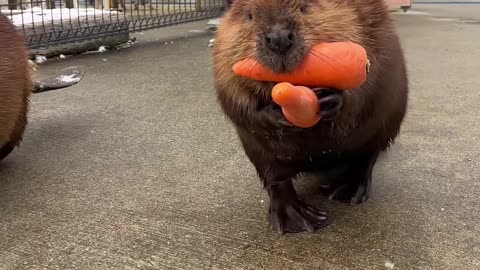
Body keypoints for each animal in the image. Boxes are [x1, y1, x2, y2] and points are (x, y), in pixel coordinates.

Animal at [213, 0, 408, 234]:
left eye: (304, 7)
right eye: (250, 16)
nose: (278, 38)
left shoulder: (367, 28)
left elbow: (366, 81)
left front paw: (331, 99)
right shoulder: (224, 53)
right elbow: (234, 98)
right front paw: (274, 116)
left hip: (386, 125)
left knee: (367, 154)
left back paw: (347, 189)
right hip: (256, 151)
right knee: (274, 177)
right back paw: (296, 217)